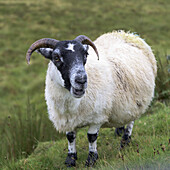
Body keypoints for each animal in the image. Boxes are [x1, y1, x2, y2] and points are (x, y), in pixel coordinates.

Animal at [25, 29, 157, 167]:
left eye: (86, 54)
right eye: (56, 57)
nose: (81, 80)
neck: (72, 103)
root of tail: (128, 34)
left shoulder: (97, 116)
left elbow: (91, 137)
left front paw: (91, 159)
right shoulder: (68, 119)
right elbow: (70, 137)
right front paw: (71, 159)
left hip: (137, 99)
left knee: (131, 120)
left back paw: (125, 140)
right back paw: (119, 130)